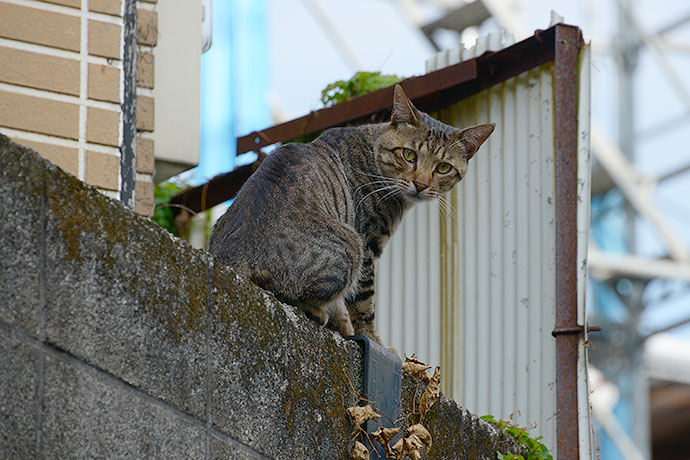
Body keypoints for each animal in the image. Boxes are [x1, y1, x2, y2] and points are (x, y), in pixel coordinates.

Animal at [207, 86, 492, 344]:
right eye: (409, 154)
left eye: (443, 168)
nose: (420, 184)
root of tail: (239, 254)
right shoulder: (367, 244)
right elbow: (364, 304)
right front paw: (374, 340)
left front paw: (345, 326)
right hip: (350, 245)